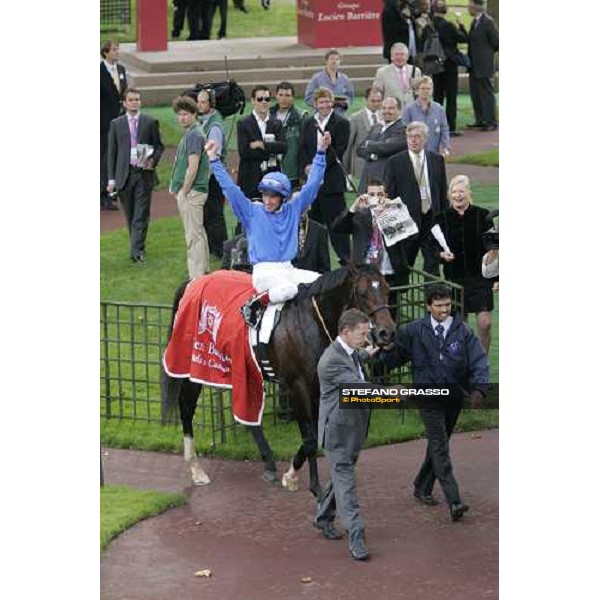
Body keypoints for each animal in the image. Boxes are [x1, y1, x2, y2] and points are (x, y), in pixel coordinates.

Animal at [162, 264, 396, 496]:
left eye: (387, 288)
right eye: (363, 292)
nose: (387, 333)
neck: (313, 321)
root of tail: (194, 281)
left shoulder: (319, 385)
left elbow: (316, 431)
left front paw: (290, 474)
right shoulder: (298, 386)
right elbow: (310, 438)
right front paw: (315, 486)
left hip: (240, 368)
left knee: (246, 414)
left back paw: (268, 462)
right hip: (195, 366)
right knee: (186, 407)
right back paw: (196, 468)